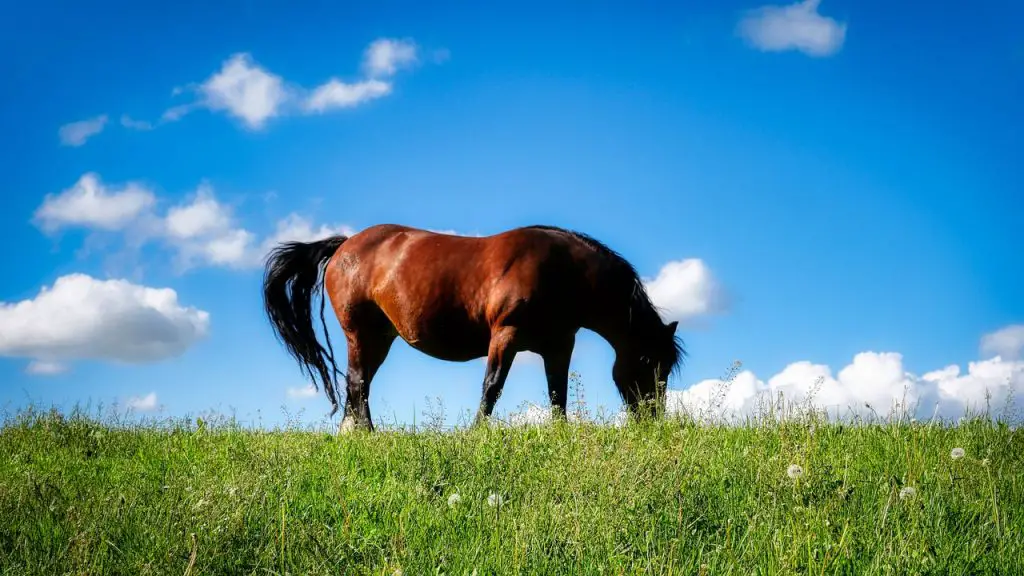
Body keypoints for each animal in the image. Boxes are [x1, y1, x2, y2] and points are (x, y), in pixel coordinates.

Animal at [260, 224, 684, 430]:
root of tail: (345, 244)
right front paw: (477, 432)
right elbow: (492, 386)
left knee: (358, 385)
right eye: (649, 363)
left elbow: (557, 394)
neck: (562, 270)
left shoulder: (558, 345)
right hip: (360, 334)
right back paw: (365, 433)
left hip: (380, 338)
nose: (653, 420)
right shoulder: (506, 335)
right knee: (358, 383)